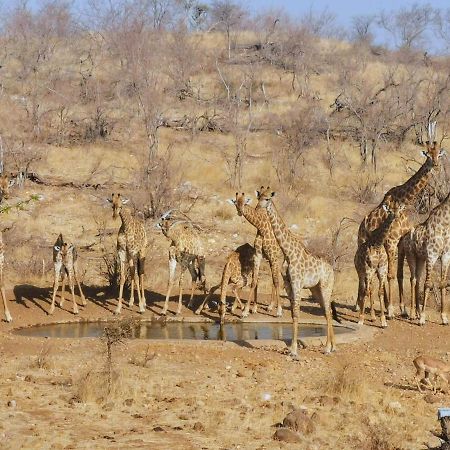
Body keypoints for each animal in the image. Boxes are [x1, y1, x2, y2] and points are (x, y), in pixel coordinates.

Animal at [256, 185, 338, 356]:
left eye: (267, 199)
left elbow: (297, 314)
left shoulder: (297, 283)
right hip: (315, 289)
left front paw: (294, 351)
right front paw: (292, 348)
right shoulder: (288, 285)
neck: (288, 252)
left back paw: (328, 348)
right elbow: (293, 315)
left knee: (328, 312)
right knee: (327, 312)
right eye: (258, 197)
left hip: (326, 286)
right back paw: (333, 346)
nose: (258, 208)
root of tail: (332, 270)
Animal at [398, 192, 450, 326]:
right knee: (413, 279)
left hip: (420, 258)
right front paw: (422, 318)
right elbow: (427, 284)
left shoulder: (446, 256)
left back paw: (416, 312)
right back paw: (412, 314)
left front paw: (444, 318)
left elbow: (442, 284)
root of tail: (404, 236)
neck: (445, 225)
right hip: (411, 255)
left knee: (417, 279)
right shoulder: (431, 256)